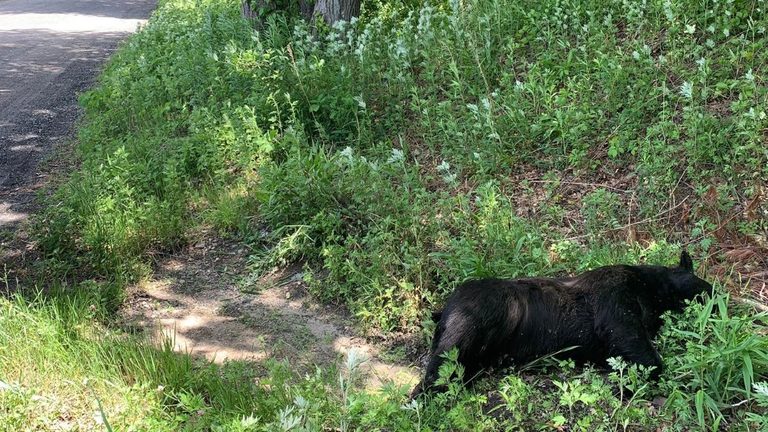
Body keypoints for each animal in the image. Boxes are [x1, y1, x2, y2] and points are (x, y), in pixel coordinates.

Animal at [412, 251, 713, 396]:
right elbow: (648, 358)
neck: (651, 289)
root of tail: (443, 309)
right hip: (469, 327)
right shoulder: (616, 308)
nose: (713, 294)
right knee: (436, 373)